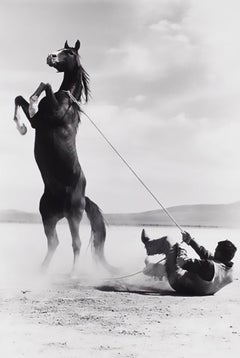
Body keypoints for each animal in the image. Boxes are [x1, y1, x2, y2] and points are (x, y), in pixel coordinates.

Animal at [13, 40, 113, 276]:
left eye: (68, 52)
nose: (50, 57)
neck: (67, 101)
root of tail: (84, 197)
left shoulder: (51, 116)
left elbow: (46, 85)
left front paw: (32, 104)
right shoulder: (37, 123)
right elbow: (19, 97)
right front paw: (20, 126)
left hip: (73, 216)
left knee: (75, 243)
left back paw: (73, 273)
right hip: (47, 217)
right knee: (54, 243)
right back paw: (42, 271)